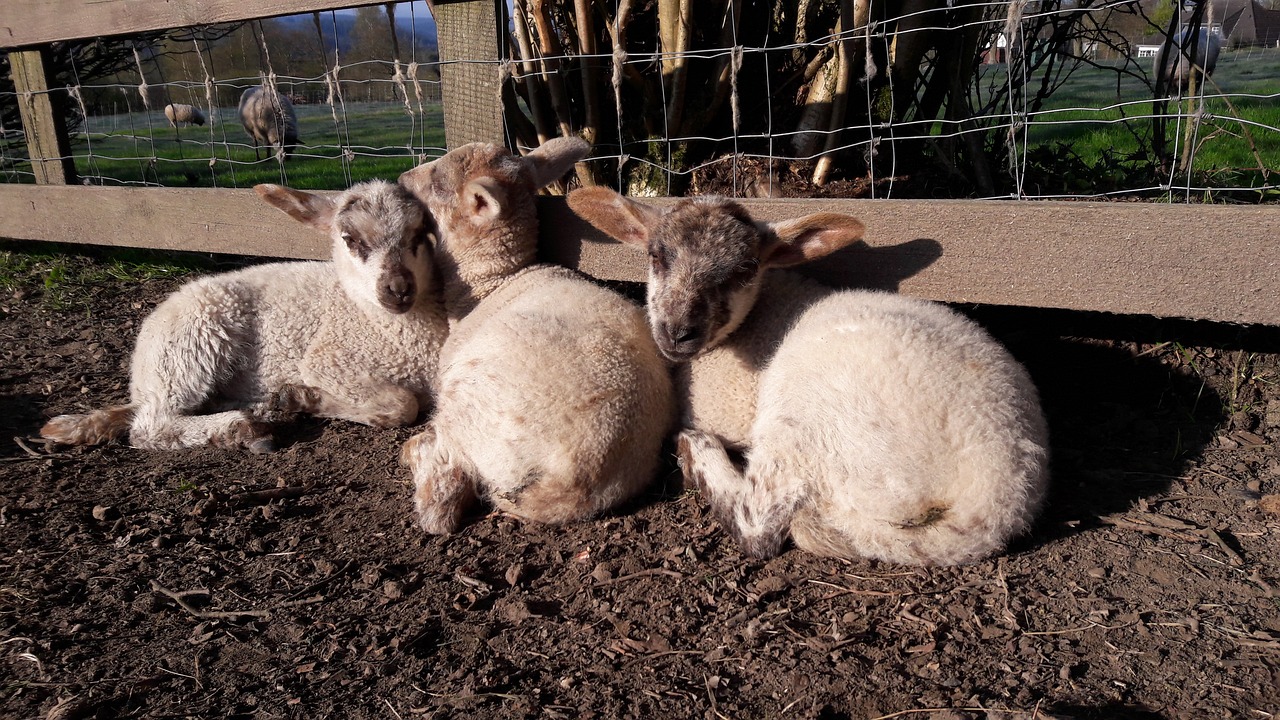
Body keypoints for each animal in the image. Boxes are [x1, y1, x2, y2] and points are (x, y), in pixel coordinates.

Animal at [40, 178, 448, 448]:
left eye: (420, 235)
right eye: (350, 239)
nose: (398, 288)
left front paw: (300, 399)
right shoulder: (329, 362)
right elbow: (403, 406)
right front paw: (310, 399)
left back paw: (262, 407)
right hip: (187, 347)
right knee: (149, 427)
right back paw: (243, 428)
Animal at [568, 189, 1049, 566]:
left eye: (745, 270)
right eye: (656, 256)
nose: (677, 331)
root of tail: (994, 503)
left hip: (808, 418)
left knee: (757, 525)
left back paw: (695, 451)